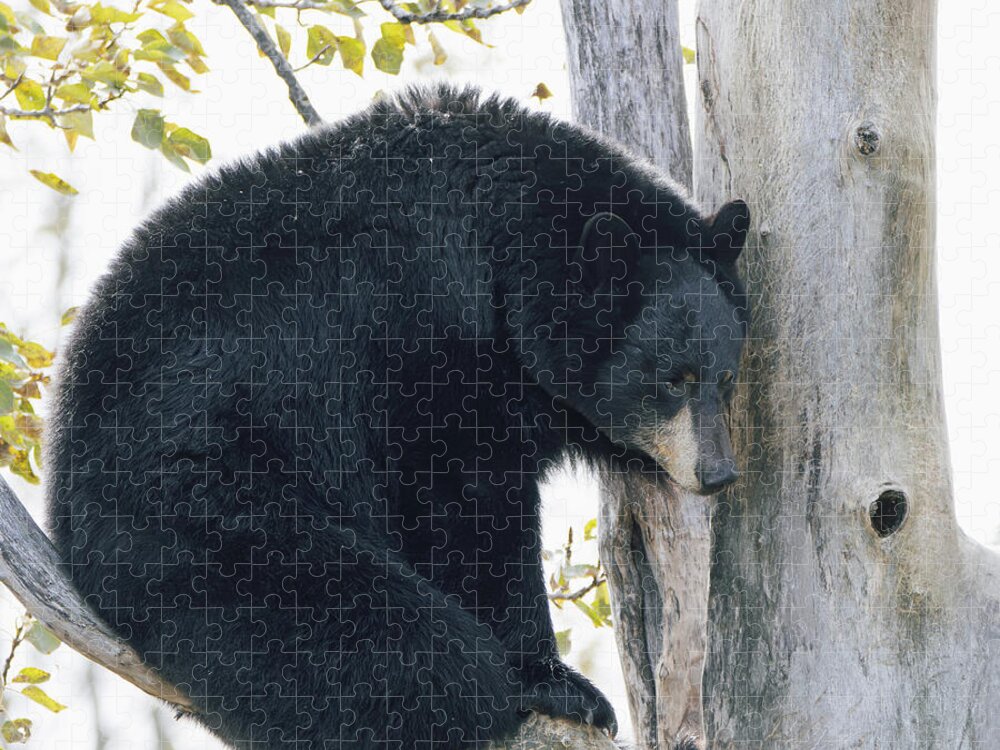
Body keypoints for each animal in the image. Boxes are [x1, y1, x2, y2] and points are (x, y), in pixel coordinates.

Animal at [47, 85, 752, 748]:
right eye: (673, 379)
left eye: (724, 376)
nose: (718, 473)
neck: (503, 248)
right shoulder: (418, 334)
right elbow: (461, 502)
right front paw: (558, 684)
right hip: (208, 512)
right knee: (414, 649)